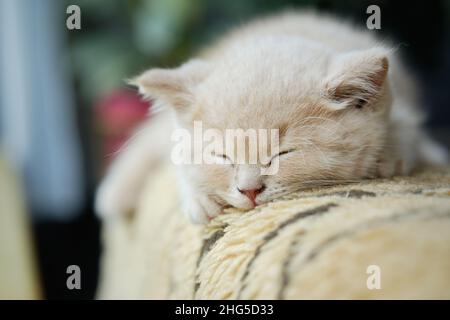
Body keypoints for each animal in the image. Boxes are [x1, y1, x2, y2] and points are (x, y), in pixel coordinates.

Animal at [95, 11, 446, 224]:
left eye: (283, 153)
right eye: (222, 156)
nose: (249, 191)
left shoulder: (401, 103)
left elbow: (408, 127)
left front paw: (391, 156)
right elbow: (178, 159)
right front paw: (198, 198)